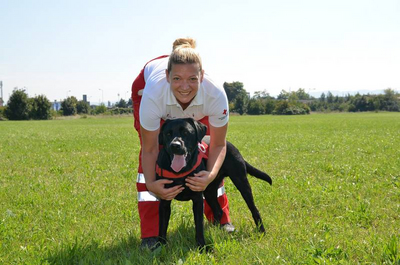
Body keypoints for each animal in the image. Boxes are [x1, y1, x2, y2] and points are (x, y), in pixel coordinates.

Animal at [156, 117, 272, 248]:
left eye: (186, 132)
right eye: (168, 134)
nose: (175, 145)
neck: (180, 172)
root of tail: (229, 144)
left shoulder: (197, 199)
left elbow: (199, 226)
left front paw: (202, 247)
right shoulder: (164, 199)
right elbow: (162, 226)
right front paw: (160, 246)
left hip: (241, 182)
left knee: (254, 209)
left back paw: (261, 231)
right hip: (209, 191)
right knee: (218, 210)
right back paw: (214, 230)